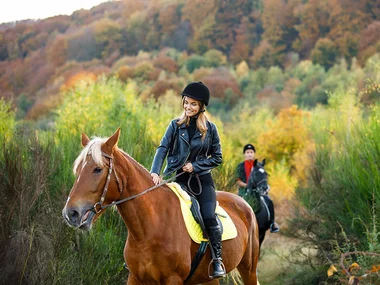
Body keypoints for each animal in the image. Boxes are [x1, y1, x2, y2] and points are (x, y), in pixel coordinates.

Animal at [62, 129, 260, 284]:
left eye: (97, 169)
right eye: (77, 170)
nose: (71, 213)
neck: (149, 228)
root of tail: (245, 205)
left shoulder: (172, 279)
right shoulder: (135, 278)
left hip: (249, 270)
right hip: (208, 279)